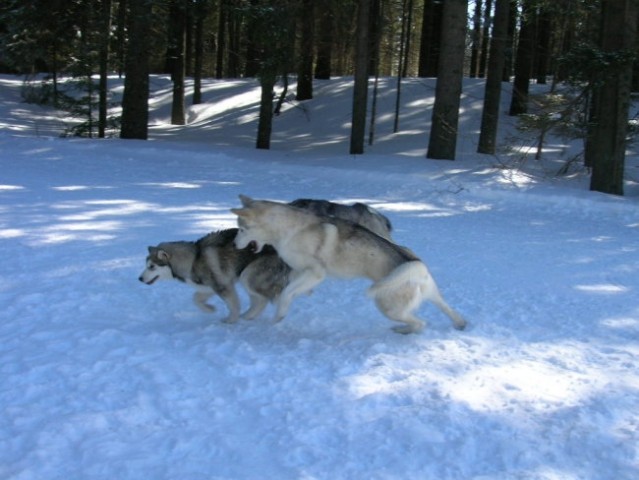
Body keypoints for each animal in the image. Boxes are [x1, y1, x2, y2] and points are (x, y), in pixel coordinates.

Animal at [232, 195, 468, 334]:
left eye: (242, 229)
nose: (234, 244)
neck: (288, 229)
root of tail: (414, 263)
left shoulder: (316, 272)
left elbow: (286, 294)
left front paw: (279, 315)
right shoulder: (300, 271)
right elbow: (290, 285)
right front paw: (301, 294)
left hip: (387, 306)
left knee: (421, 324)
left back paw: (403, 330)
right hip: (430, 295)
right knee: (446, 310)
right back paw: (459, 323)